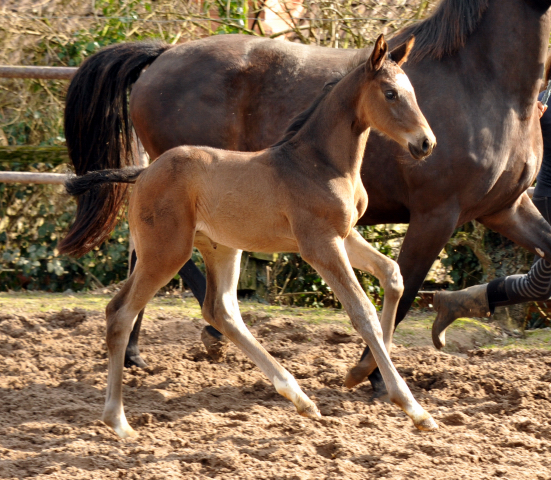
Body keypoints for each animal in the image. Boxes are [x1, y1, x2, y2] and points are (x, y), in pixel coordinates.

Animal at [61, 35, 436, 436]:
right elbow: (362, 310)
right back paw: (117, 420)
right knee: (121, 313)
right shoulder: (320, 243)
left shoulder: (345, 235)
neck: (318, 163)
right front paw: (413, 407)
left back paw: (299, 398)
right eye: (391, 93)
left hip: (220, 248)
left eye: (413, 92)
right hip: (165, 251)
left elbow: (393, 276)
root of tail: (143, 173)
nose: (426, 143)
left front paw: (358, 374)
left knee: (220, 309)